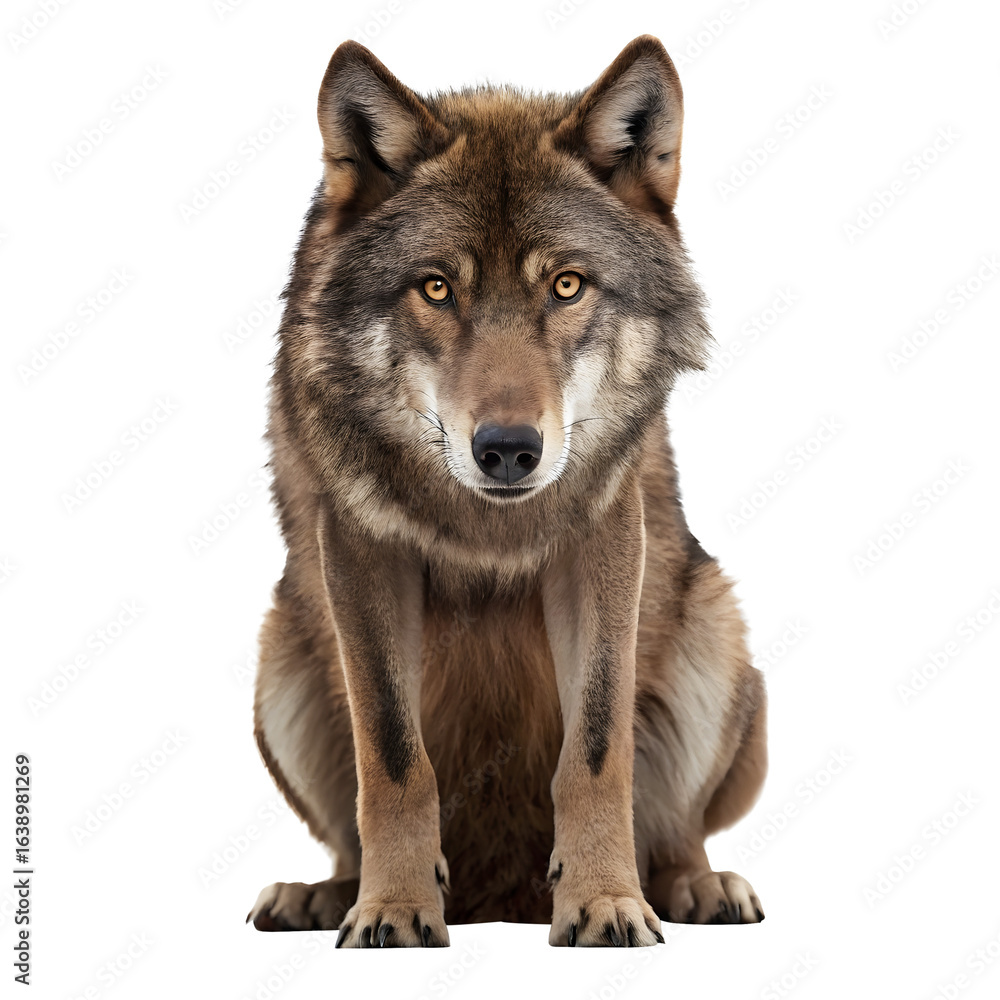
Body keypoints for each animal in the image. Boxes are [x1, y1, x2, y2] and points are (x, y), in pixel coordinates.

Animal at [247, 34, 767, 948]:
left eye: (566, 285)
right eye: (436, 287)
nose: (507, 451)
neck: (487, 528)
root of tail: (501, 902)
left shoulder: (604, 543)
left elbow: (595, 752)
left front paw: (606, 902)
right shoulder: (360, 550)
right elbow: (392, 757)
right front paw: (391, 909)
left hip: (717, 628)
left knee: (679, 832)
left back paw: (694, 887)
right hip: (279, 655)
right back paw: (325, 896)